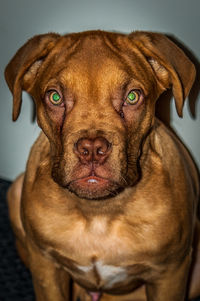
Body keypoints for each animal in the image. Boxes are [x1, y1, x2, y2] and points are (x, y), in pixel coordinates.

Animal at [4, 31, 200, 300]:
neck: (98, 213)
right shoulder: (46, 268)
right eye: (55, 97)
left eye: (132, 96)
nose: (92, 150)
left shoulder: (170, 273)